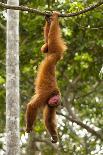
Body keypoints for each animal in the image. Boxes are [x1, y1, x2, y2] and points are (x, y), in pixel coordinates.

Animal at [25, 11, 67, 143]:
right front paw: (29, 127)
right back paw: (55, 19)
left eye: (55, 103)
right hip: (55, 54)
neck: (55, 94)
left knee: (47, 45)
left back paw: (49, 21)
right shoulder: (46, 95)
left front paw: (54, 137)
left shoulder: (49, 105)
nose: (54, 102)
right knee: (53, 40)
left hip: (49, 54)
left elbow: (48, 120)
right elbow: (32, 106)